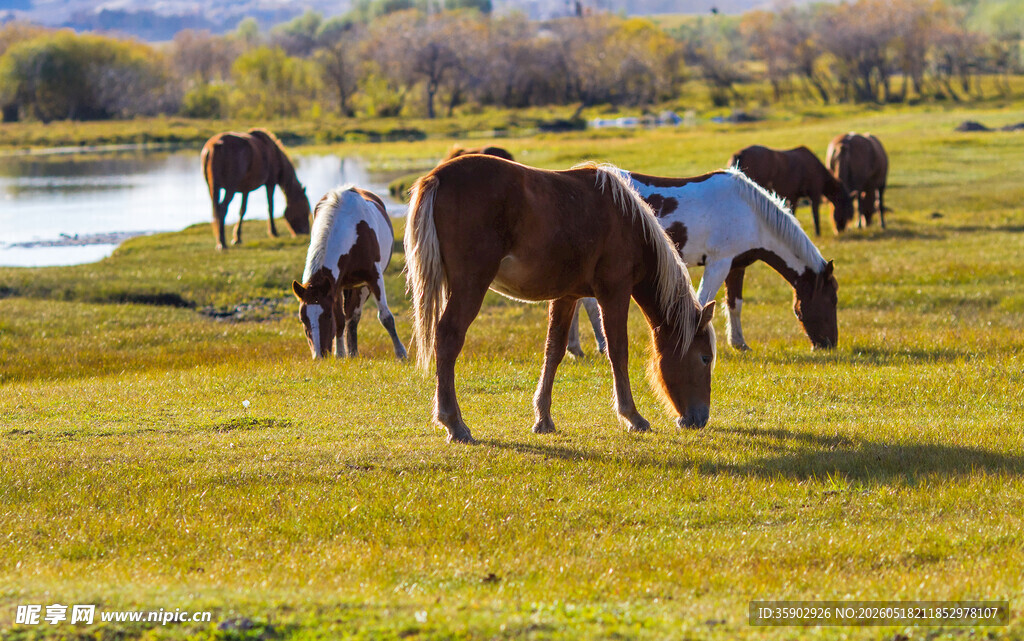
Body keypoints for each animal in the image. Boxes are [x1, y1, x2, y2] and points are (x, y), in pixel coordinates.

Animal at [291, 186, 407, 361]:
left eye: (327, 316)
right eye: (302, 318)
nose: (319, 356)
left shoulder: (374, 277)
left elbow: (386, 317)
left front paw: (401, 354)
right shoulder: (335, 286)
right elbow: (340, 320)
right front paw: (340, 354)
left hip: (362, 286)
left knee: (354, 316)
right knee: (350, 318)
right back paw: (351, 353)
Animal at [405, 155, 716, 444]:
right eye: (705, 357)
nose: (699, 419)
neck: (627, 222)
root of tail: (437, 176)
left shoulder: (567, 296)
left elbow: (554, 351)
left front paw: (543, 419)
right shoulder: (614, 292)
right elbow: (618, 350)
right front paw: (632, 416)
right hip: (471, 284)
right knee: (448, 337)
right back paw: (454, 423)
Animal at [568, 167, 837, 354]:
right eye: (831, 300)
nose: (829, 344)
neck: (749, 211)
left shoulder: (735, 266)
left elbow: (735, 304)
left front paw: (739, 343)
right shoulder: (718, 264)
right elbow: (702, 300)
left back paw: (575, 347)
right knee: (589, 304)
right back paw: (599, 346)